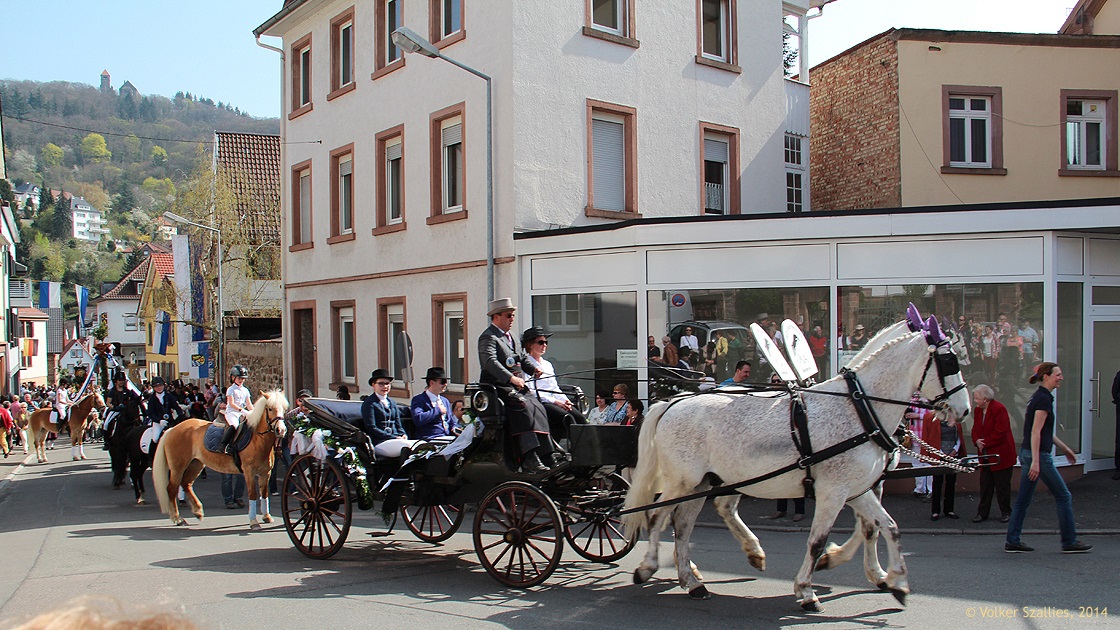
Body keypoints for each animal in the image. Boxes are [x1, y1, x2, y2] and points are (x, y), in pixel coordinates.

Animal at [152, 390, 288, 529]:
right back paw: (178, 518)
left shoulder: (265, 472)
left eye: (284, 408)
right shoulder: (249, 472)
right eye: (270, 408)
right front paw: (254, 521)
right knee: (172, 488)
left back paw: (198, 511)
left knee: (186, 484)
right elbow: (253, 494)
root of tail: (172, 429)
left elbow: (264, 494)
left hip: (196, 464)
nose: (281, 430)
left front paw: (267, 517)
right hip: (177, 467)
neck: (257, 439)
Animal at [622, 314, 972, 612]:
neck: (860, 409)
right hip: (683, 482)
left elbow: (887, 527)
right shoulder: (834, 492)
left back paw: (695, 579)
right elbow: (818, 541)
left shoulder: (859, 488)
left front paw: (893, 580)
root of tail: (673, 403)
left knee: (684, 524)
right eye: (949, 360)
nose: (965, 410)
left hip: (705, 482)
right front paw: (807, 589)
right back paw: (649, 568)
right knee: (657, 517)